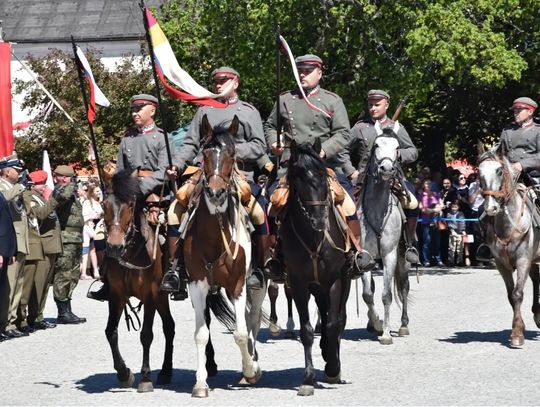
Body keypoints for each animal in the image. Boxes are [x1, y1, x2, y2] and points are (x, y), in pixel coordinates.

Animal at [181, 114, 266, 398]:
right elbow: (200, 333)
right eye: (205, 152)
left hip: (257, 285)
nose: (216, 193)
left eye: (232, 153)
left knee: (252, 320)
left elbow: (240, 332)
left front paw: (250, 370)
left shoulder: (238, 285)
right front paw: (200, 383)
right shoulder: (197, 285)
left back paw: (253, 360)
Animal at [476, 147, 540, 348]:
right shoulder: (501, 264)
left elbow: (518, 294)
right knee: (536, 278)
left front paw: (517, 335)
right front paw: (519, 329)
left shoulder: (522, 260)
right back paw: (538, 314)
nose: (490, 207)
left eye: (498, 171)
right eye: (479, 172)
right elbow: (511, 296)